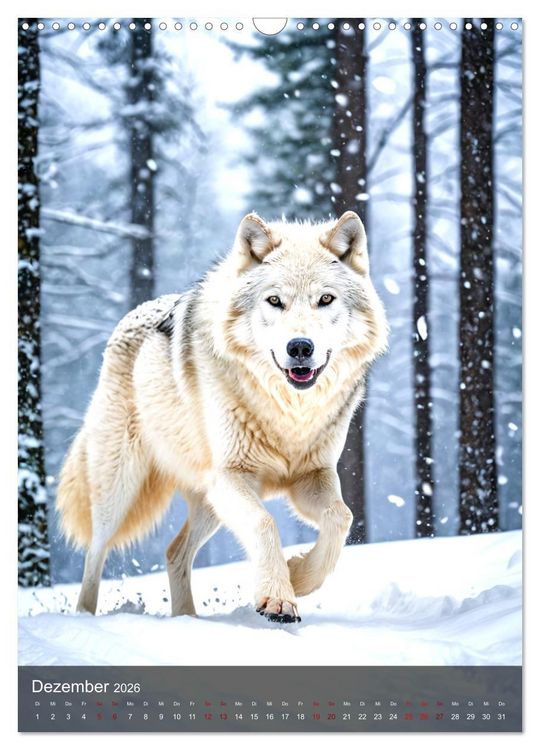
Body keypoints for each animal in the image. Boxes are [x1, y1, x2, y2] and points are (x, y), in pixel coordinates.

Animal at [57, 211, 388, 623]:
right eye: (274, 301)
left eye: (325, 299)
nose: (300, 347)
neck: (289, 413)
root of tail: (132, 314)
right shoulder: (232, 476)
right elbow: (265, 522)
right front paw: (279, 598)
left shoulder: (312, 475)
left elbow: (340, 518)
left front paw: (298, 576)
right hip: (120, 488)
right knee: (95, 553)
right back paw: (85, 616)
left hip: (209, 501)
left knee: (174, 551)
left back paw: (187, 619)